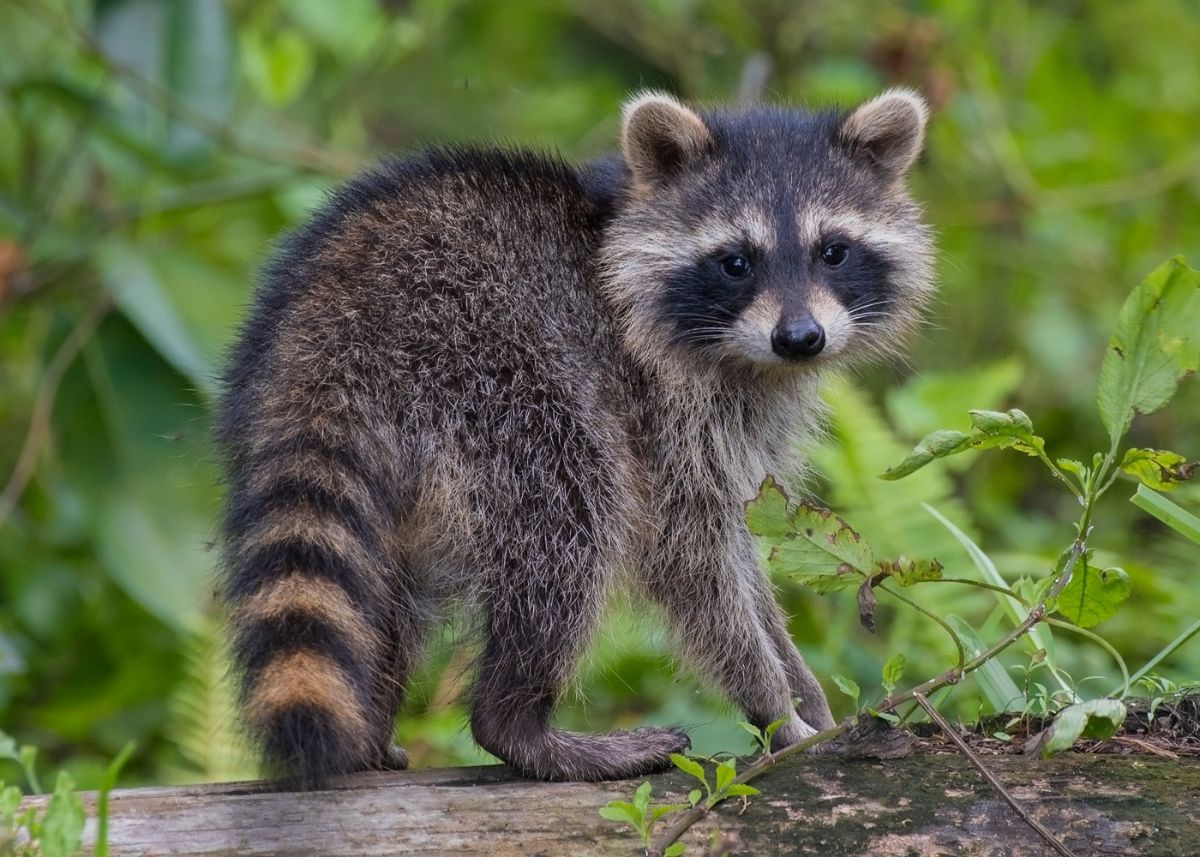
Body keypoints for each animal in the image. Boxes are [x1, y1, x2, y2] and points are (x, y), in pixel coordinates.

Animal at [220, 90, 940, 782]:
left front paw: (802, 688)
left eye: (833, 251)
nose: (799, 338)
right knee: (570, 515)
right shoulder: (658, 405)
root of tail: (334, 324)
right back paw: (518, 722)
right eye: (736, 262)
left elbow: (738, 547)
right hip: (495, 377)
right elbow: (691, 557)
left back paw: (372, 728)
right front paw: (773, 701)